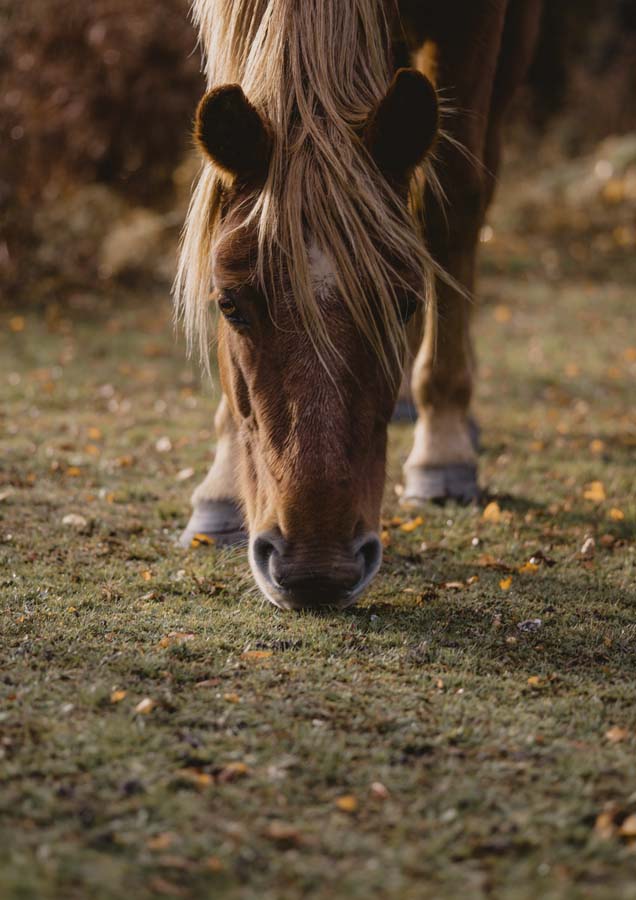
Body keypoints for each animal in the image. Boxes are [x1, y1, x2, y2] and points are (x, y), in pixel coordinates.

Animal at [174, 0, 540, 612]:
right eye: (228, 305)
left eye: (406, 304)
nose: (316, 569)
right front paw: (221, 485)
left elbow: (450, 199)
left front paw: (443, 448)